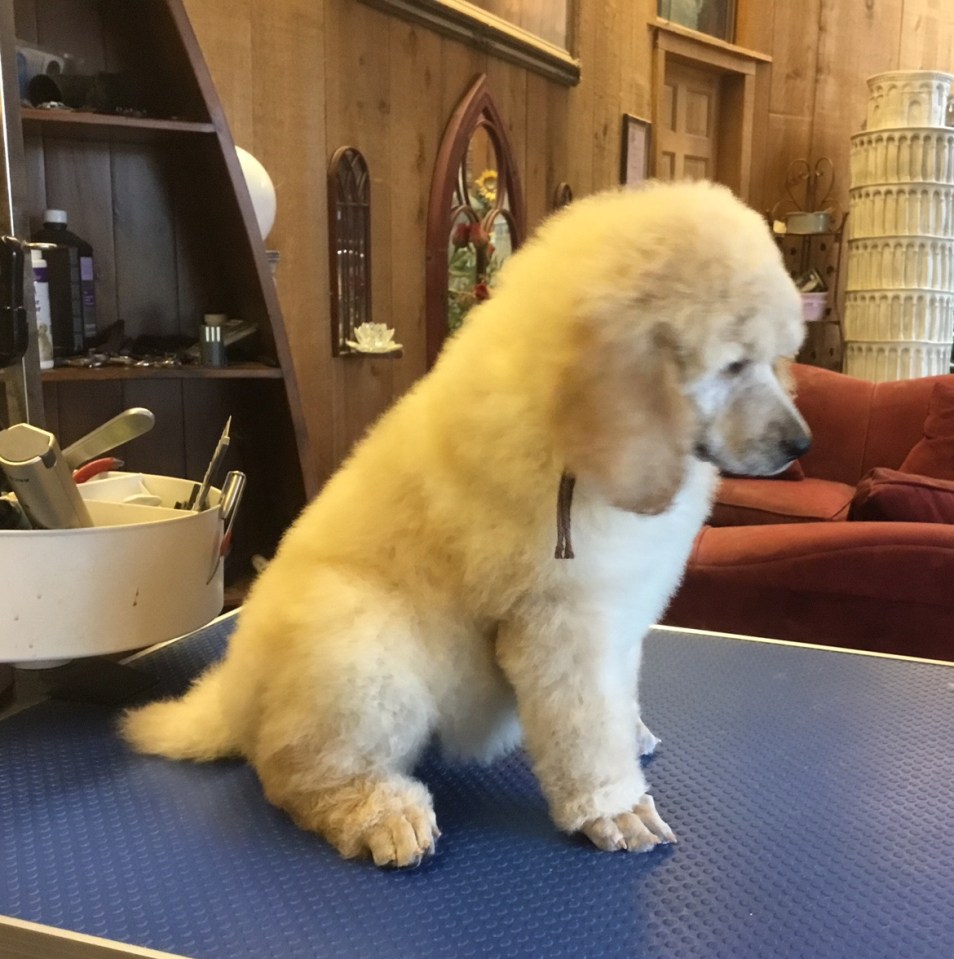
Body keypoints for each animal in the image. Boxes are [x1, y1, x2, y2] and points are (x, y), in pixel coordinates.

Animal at [122, 180, 810, 867]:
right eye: (732, 366)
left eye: (778, 360)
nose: (800, 444)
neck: (566, 431)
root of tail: (233, 697)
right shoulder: (563, 623)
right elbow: (588, 727)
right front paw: (613, 808)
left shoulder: (620, 611)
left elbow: (620, 696)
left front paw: (633, 734)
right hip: (359, 646)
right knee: (296, 770)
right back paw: (379, 813)